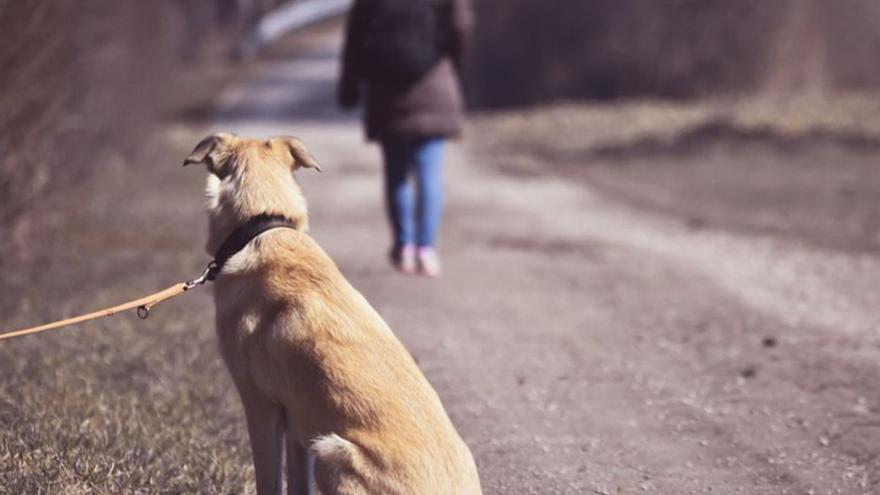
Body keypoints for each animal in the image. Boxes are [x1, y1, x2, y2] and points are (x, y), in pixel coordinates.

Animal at [184, 133, 482, 495]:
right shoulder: (297, 426)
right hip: (320, 443)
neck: (263, 225)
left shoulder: (261, 408)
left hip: (331, 451)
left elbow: (269, 481)